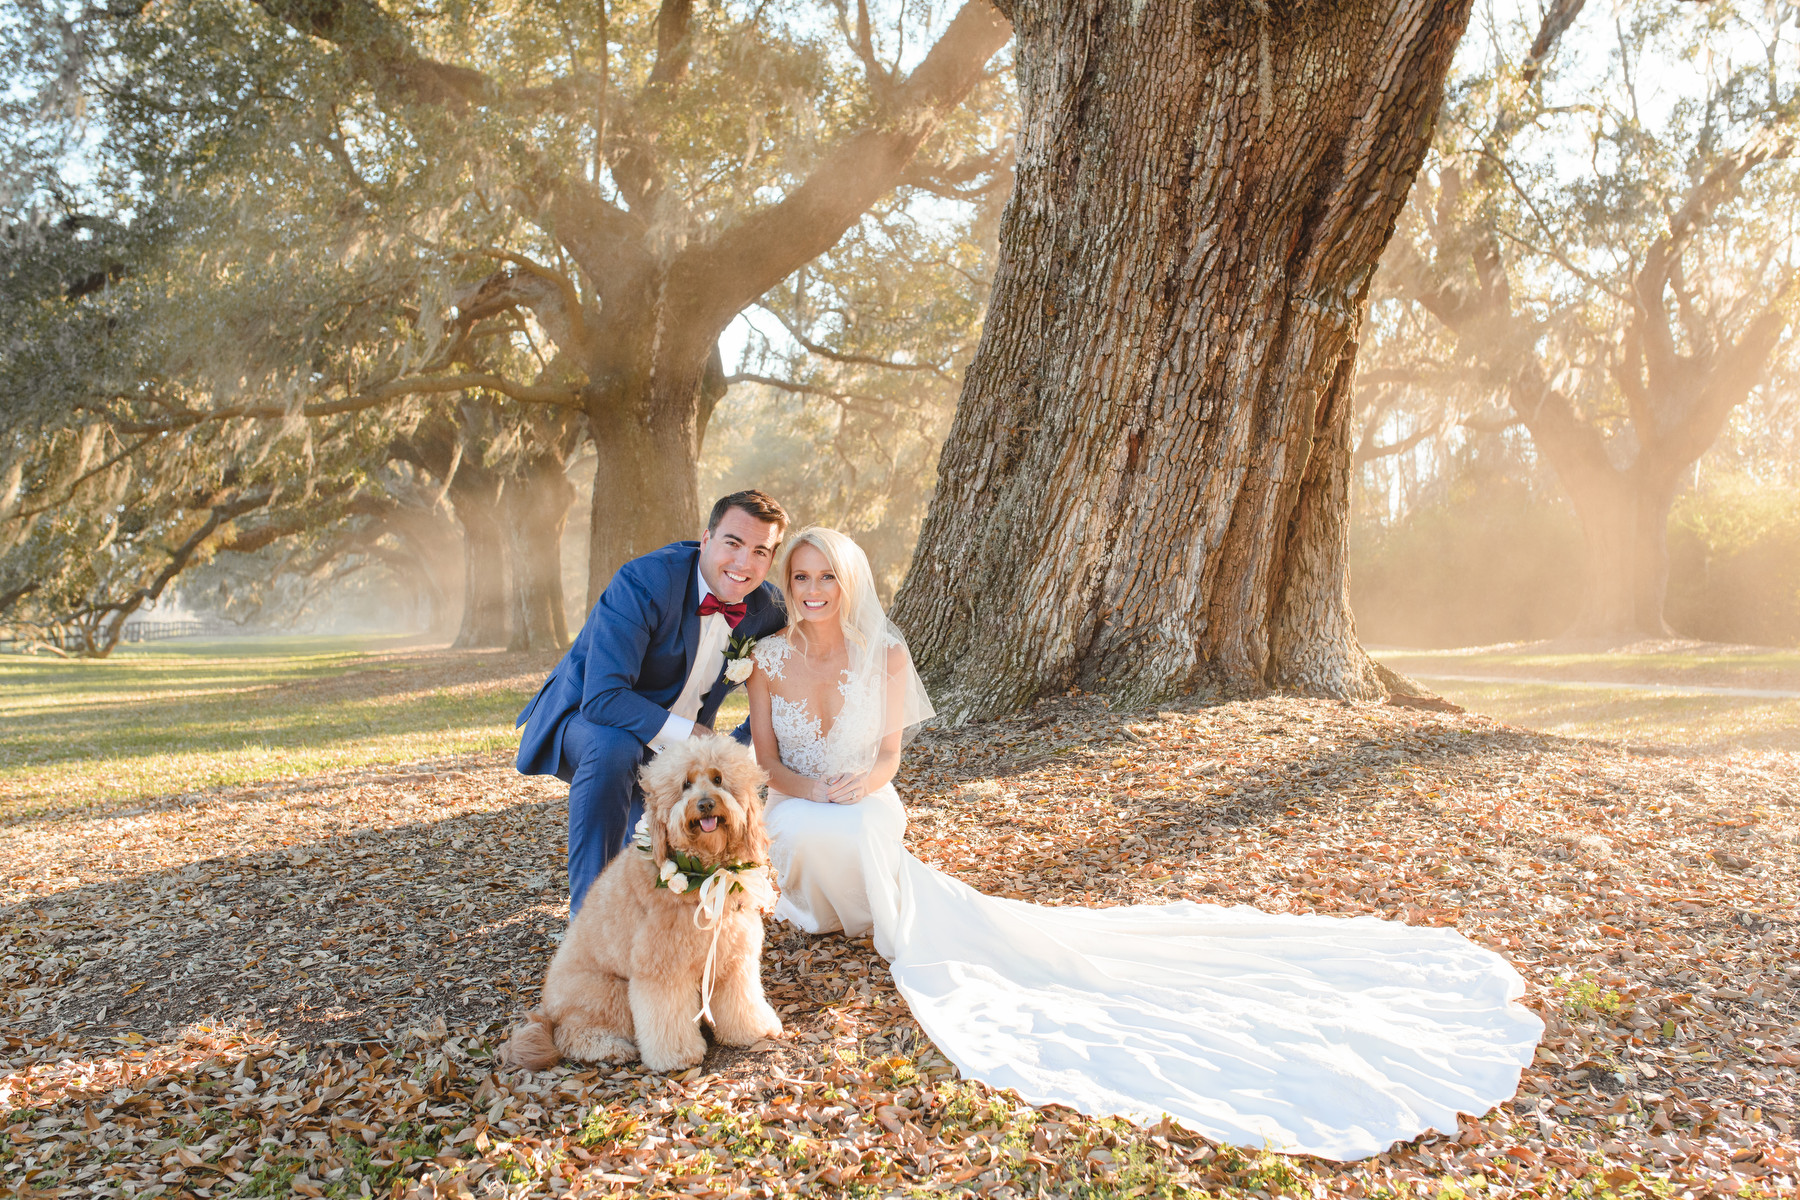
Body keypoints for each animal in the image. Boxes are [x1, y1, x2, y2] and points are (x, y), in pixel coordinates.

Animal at [500, 737, 781, 1072]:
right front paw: (677, 1055)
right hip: (609, 993)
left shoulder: (732, 959)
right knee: (571, 1036)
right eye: (685, 784)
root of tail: (546, 1013)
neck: (705, 876)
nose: (705, 804)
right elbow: (666, 1015)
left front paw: (753, 1030)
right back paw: (611, 1049)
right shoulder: (661, 969)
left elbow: (742, 1000)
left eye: (718, 779)